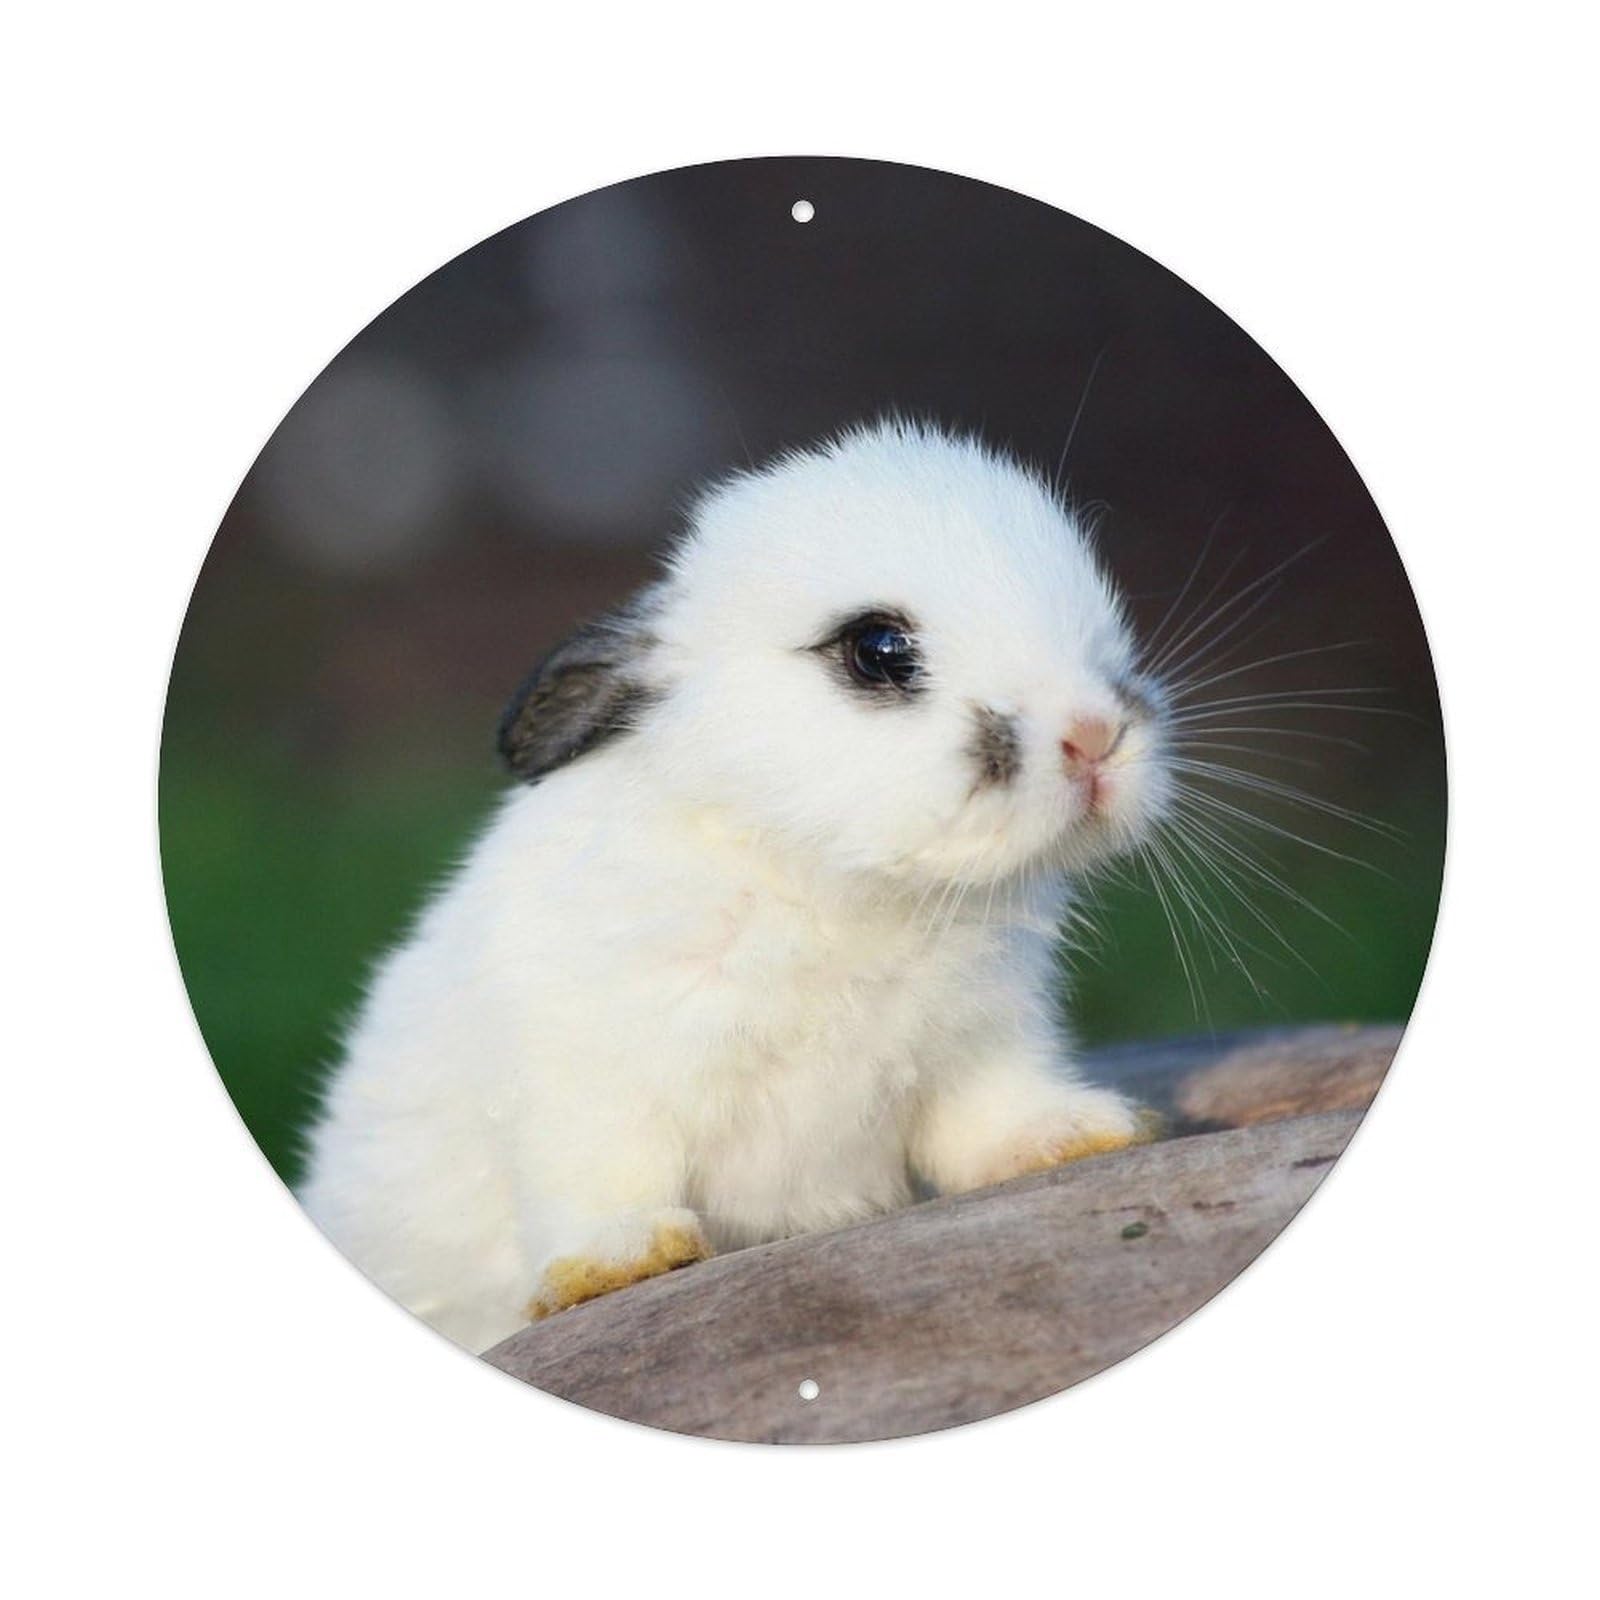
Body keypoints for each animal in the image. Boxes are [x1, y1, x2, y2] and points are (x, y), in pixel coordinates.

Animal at [298, 418, 1174, 1354]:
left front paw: (1082, 1134)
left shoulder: (980, 1046)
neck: (830, 883)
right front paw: (623, 1260)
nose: (1095, 735)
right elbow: (599, 1175)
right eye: (879, 651)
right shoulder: (587, 1078)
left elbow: (989, 1122)